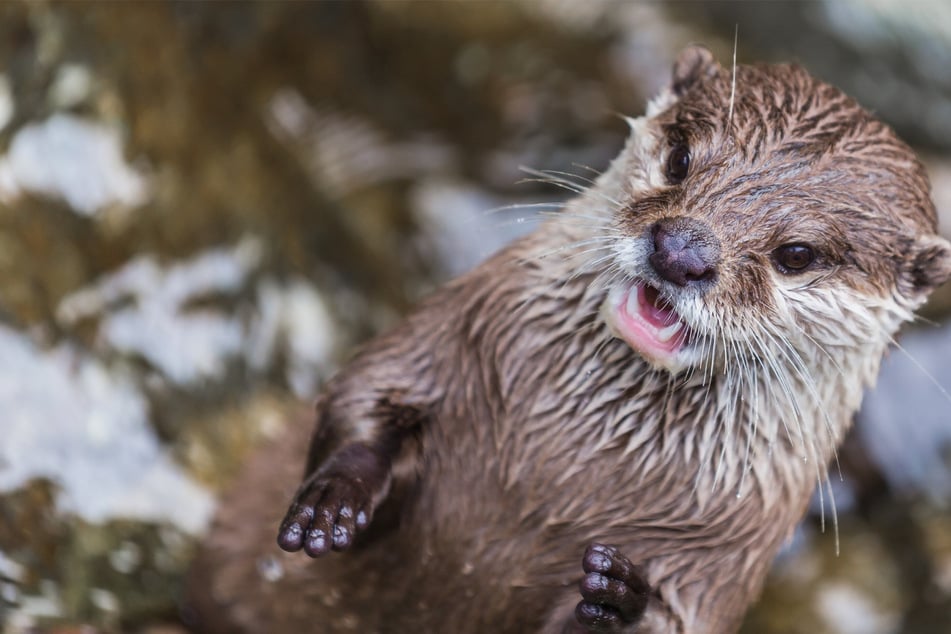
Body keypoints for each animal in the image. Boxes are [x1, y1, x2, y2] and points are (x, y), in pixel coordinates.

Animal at [186, 47, 951, 628]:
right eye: (681, 158)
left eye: (796, 254)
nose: (682, 248)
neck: (559, 467)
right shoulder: (447, 338)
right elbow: (364, 389)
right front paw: (335, 496)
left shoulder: (720, 563)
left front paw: (619, 600)